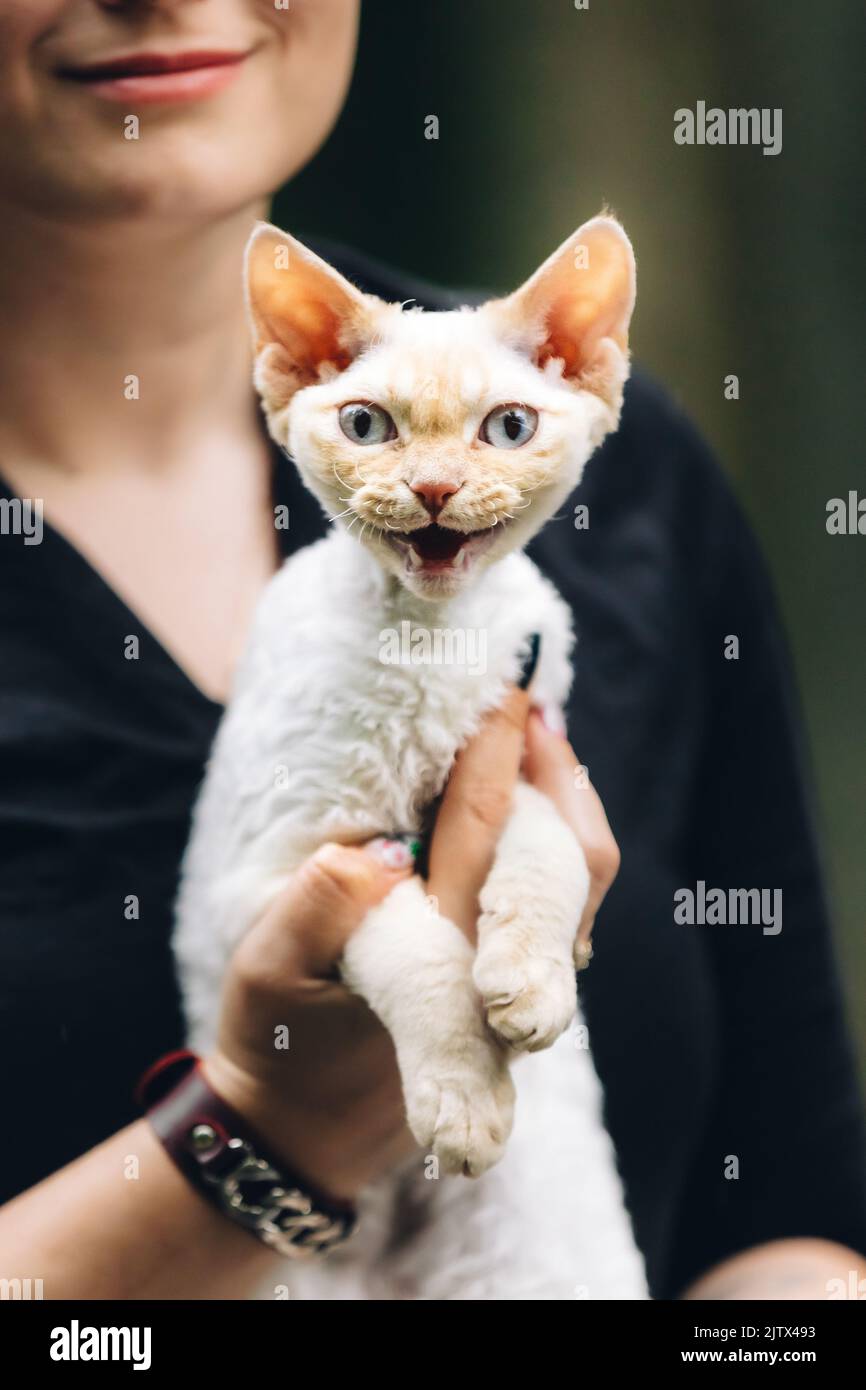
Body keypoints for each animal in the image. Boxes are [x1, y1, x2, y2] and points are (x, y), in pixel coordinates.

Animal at [173, 211, 647, 1295]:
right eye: (365, 426)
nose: (433, 489)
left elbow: (548, 842)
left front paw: (529, 977)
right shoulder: (268, 883)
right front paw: (464, 1095)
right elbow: (414, 944)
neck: (434, 644)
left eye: (508, 427)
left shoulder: (528, 747)